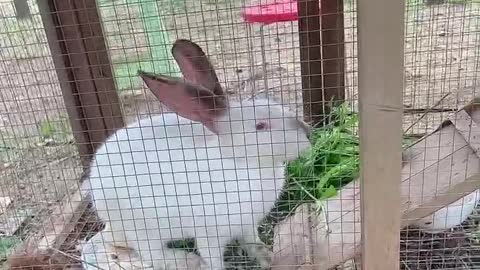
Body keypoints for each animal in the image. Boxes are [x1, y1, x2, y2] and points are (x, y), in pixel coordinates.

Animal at [79, 38, 312, 270]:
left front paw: (267, 257)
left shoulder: (248, 224)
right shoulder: (209, 235)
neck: (241, 162)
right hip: (144, 228)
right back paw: (189, 260)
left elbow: (252, 241)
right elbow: (213, 258)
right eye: (260, 126)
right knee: (152, 254)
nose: (308, 132)